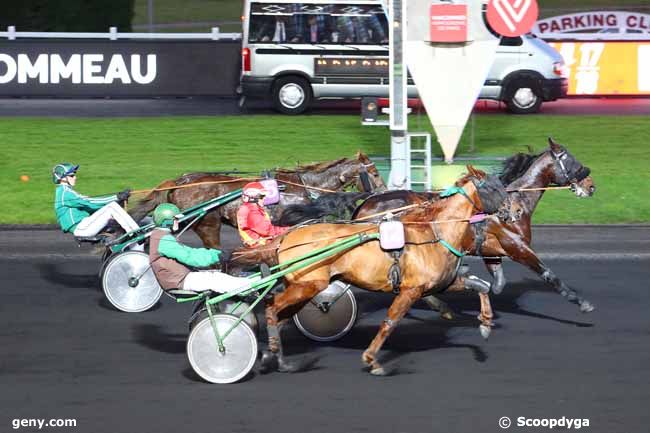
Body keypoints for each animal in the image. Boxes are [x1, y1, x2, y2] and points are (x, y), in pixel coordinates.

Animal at [260, 167, 498, 376]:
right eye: (494, 189)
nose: (506, 212)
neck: (433, 233)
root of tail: (287, 238)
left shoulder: (441, 282)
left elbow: (481, 286)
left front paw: (485, 323)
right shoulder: (410, 290)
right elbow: (390, 322)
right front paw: (372, 361)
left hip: (304, 286)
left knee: (281, 316)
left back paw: (275, 357)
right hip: (308, 285)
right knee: (272, 308)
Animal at [352, 138, 596, 314]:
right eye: (571, 160)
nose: (591, 185)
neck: (513, 202)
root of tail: (364, 205)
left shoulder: (491, 251)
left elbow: (498, 284)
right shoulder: (518, 248)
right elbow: (548, 275)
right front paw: (582, 302)